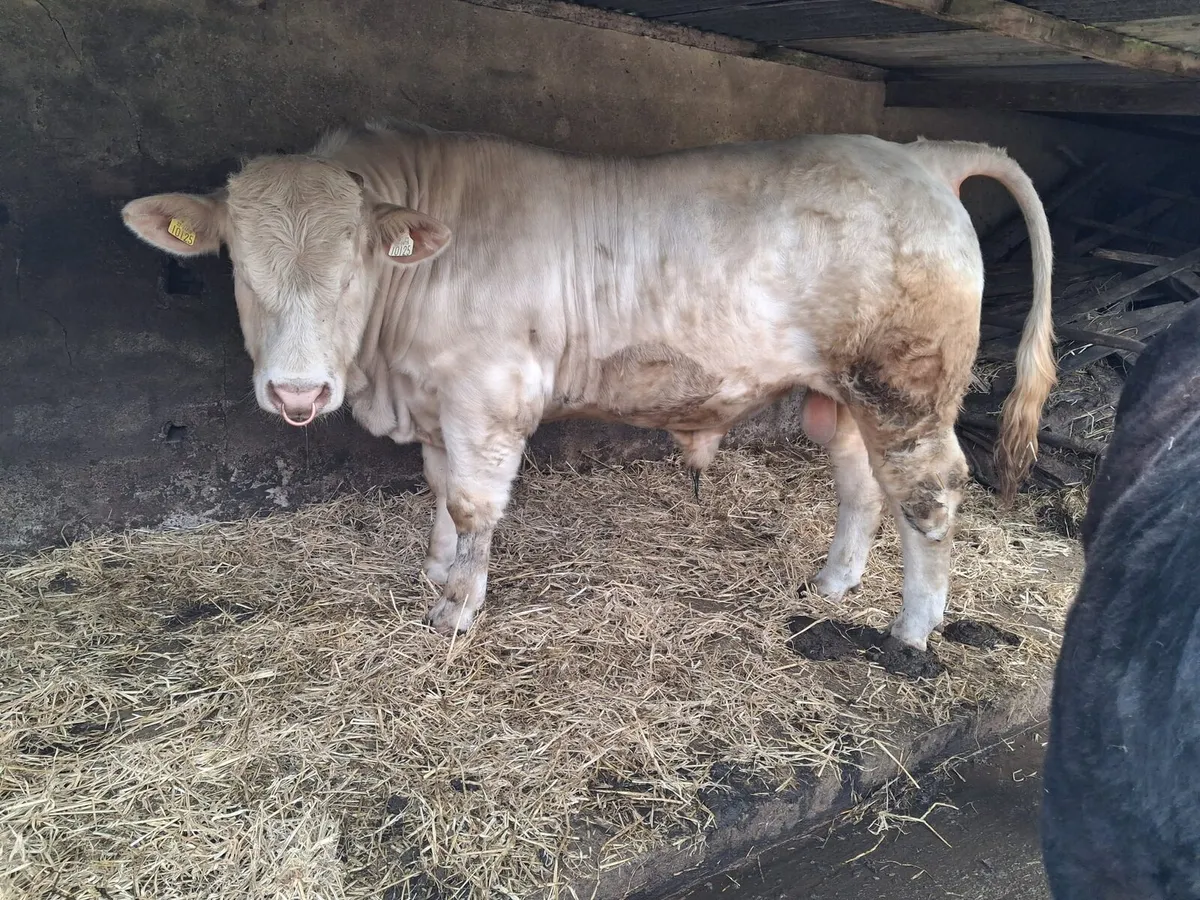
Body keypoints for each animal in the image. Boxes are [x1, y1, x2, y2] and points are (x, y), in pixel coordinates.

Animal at [121, 120, 1054, 649]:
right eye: (238, 266)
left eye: (354, 262)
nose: (297, 394)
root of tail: (917, 155)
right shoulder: (439, 403)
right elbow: (439, 489)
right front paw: (436, 572)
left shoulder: (490, 394)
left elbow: (473, 504)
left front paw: (457, 611)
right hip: (853, 393)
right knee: (864, 483)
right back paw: (835, 583)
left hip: (906, 386)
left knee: (930, 492)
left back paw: (913, 630)